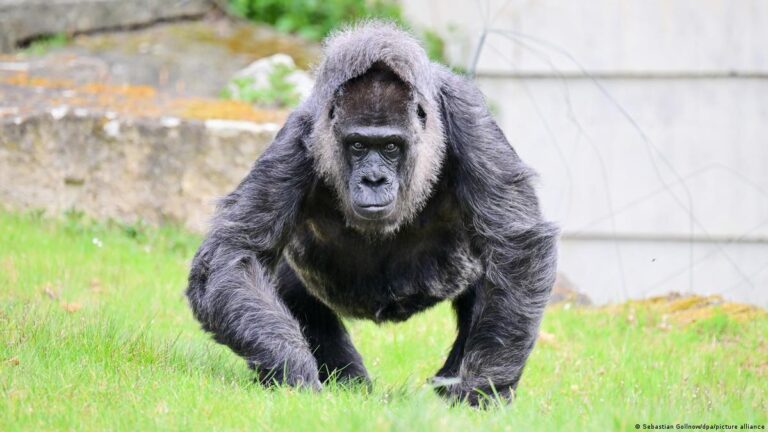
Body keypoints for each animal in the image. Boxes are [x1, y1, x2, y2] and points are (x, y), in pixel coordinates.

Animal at [186, 21, 558, 406]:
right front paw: (292, 368)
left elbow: (515, 246)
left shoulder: (470, 122)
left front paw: (483, 388)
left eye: (391, 146)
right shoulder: (297, 139)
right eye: (358, 145)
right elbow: (236, 254)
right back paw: (347, 381)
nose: (374, 179)